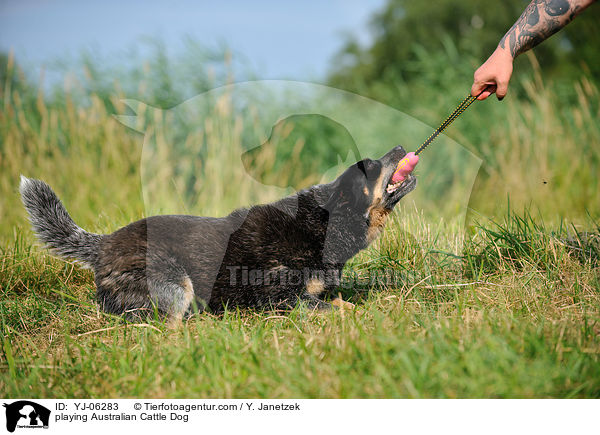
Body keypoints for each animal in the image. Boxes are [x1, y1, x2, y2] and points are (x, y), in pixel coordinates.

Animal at [19, 146, 418, 324]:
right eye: (371, 166)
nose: (401, 148)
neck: (319, 226)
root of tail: (103, 245)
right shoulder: (284, 299)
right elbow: (336, 308)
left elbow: (340, 300)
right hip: (175, 284)